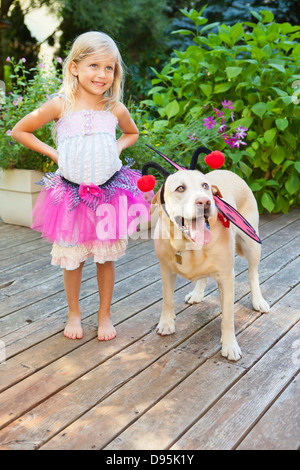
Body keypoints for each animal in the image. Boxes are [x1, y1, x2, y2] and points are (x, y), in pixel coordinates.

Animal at [150, 167, 270, 362]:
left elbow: (228, 317)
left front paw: (229, 345)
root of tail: (229, 171)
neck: (189, 245)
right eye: (180, 188)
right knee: (203, 277)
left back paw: (258, 301)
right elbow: (167, 300)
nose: (204, 201)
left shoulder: (227, 278)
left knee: (253, 273)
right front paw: (167, 323)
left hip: (251, 243)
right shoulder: (166, 270)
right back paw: (197, 294)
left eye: (205, 186)